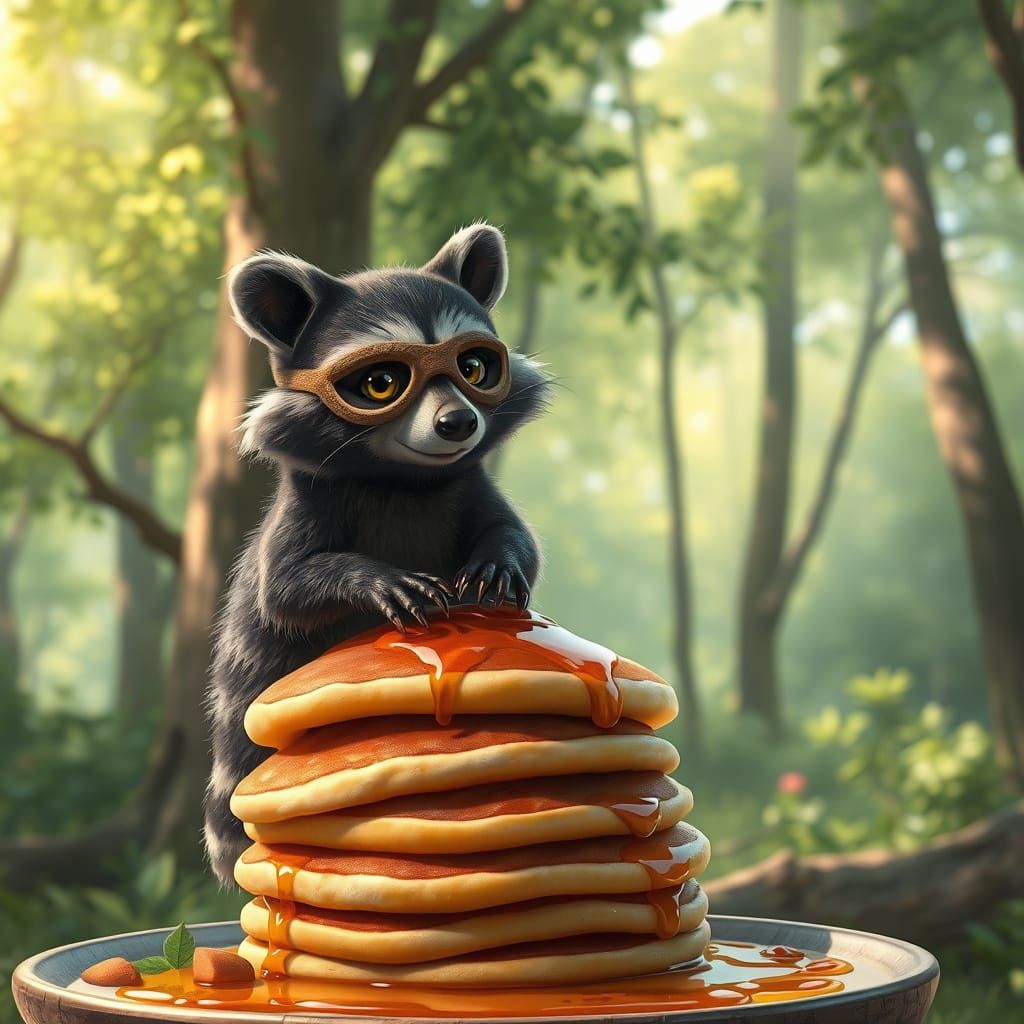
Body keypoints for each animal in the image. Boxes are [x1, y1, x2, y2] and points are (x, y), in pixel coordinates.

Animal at [203, 224, 550, 885]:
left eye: (473, 367)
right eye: (381, 382)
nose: (457, 421)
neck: (403, 478)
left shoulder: (470, 484)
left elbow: (515, 535)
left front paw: (500, 562)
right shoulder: (309, 503)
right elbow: (285, 586)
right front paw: (371, 578)